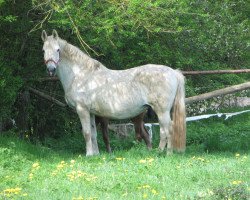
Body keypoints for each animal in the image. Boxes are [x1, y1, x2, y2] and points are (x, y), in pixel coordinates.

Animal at [41, 29, 186, 156]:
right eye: (43, 50)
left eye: (58, 50)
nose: (51, 69)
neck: (80, 74)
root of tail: (173, 72)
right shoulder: (91, 113)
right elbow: (93, 134)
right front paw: (96, 154)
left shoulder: (82, 109)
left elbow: (86, 133)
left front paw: (88, 154)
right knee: (163, 131)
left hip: (162, 111)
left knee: (167, 130)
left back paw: (165, 154)